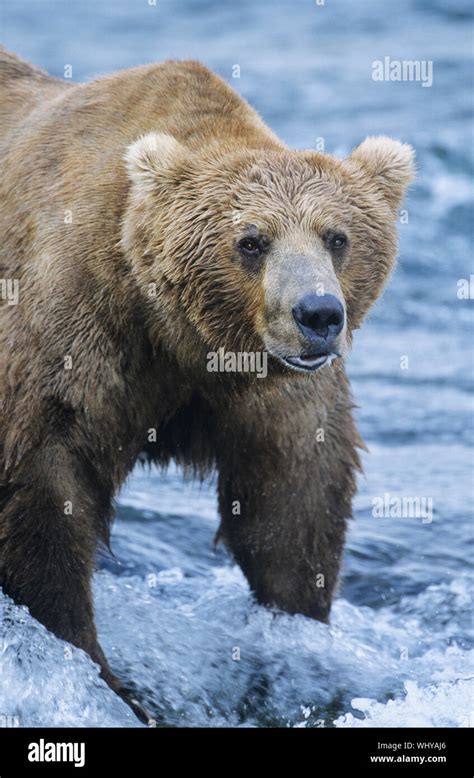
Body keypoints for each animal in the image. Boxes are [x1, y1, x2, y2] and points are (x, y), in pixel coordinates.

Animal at [0, 47, 412, 716]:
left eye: (337, 237)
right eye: (251, 241)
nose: (319, 314)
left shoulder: (268, 391)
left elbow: (294, 496)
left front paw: (298, 638)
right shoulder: (70, 332)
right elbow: (44, 491)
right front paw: (99, 673)